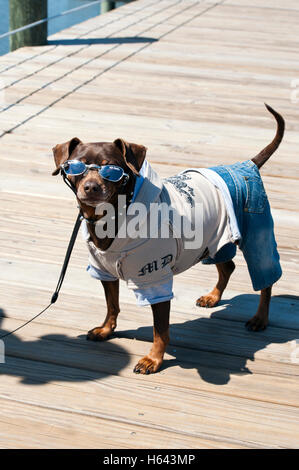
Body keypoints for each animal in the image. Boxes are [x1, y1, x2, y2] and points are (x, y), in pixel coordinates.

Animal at [52, 106, 286, 374]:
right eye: (74, 167)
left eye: (111, 170)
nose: (91, 187)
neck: (111, 219)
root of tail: (247, 164)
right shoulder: (104, 272)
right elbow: (112, 305)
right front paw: (106, 330)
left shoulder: (155, 280)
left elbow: (160, 330)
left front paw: (153, 360)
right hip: (214, 240)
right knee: (228, 266)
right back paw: (213, 297)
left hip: (256, 235)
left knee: (266, 279)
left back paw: (260, 318)